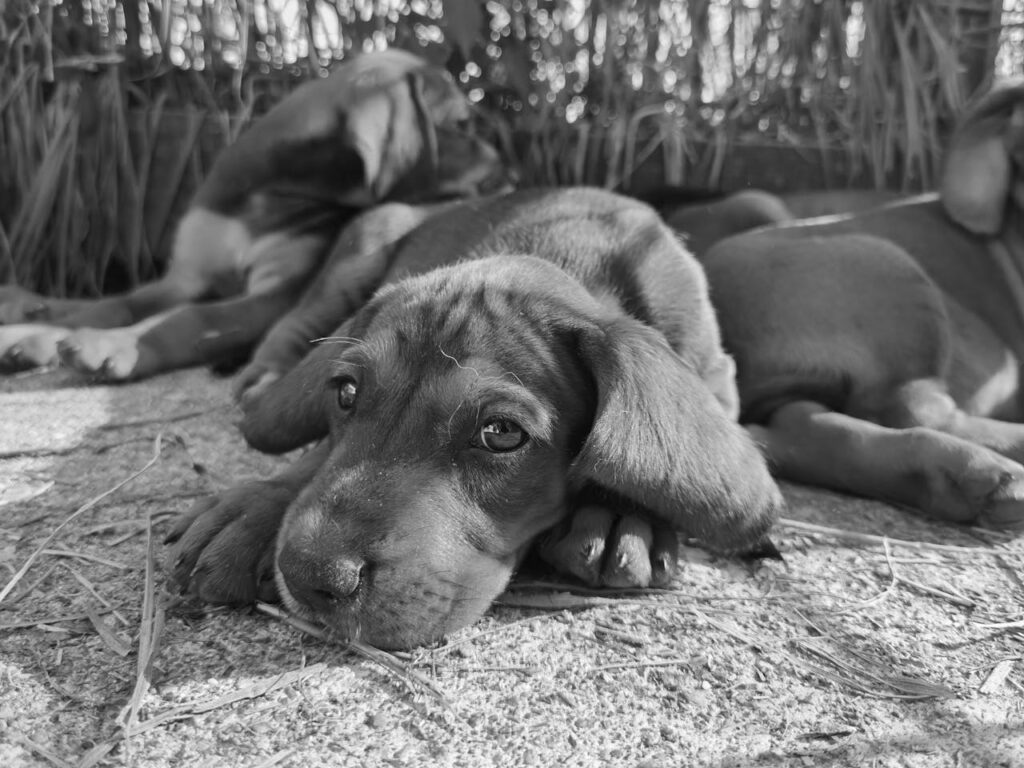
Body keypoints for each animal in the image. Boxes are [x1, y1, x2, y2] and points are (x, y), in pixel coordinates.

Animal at [0, 48, 503, 382]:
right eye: (461, 125)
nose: (499, 158)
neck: (269, 195)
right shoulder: (184, 276)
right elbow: (118, 304)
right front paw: (39, 334)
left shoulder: (273, 296)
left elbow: (190, 318)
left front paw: (113, 343)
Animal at [167, 186, 782, 651]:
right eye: (345, 394)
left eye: (501, 433)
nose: (309, 574)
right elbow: (318, 457)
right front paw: (256, 509)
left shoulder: (714, 370)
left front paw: (619, 513)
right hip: (359, 250)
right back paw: (263, 378)